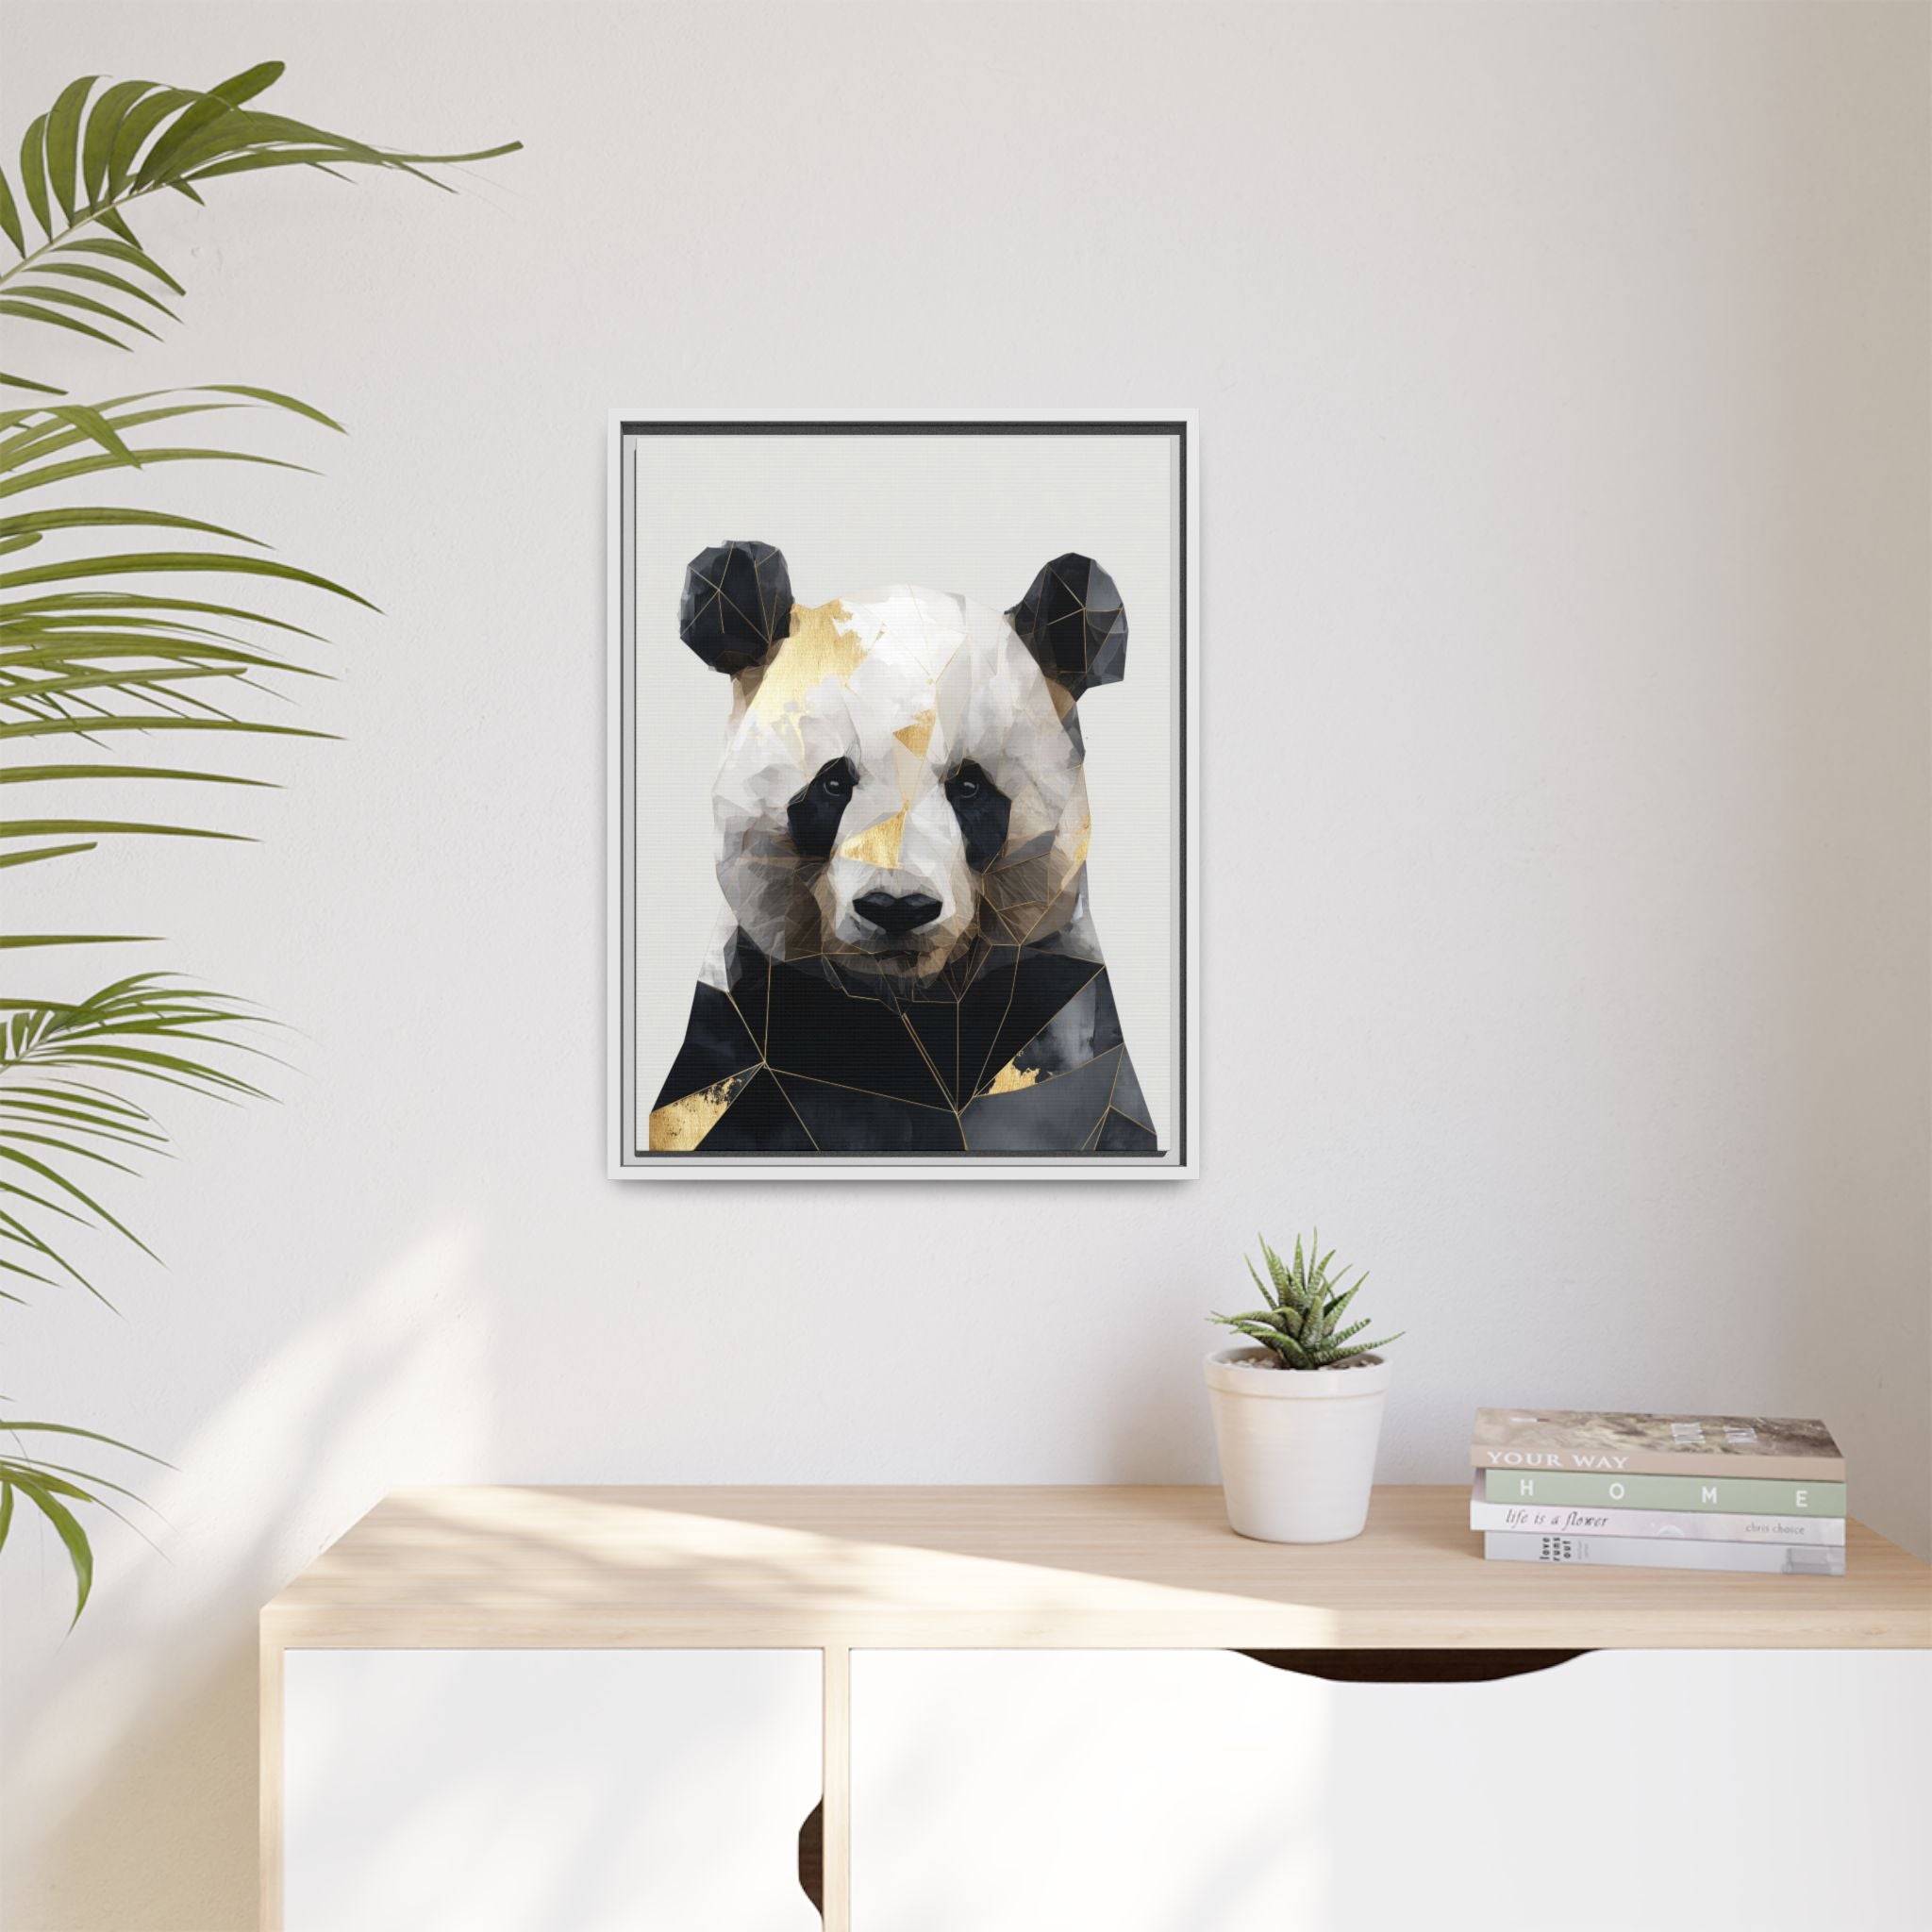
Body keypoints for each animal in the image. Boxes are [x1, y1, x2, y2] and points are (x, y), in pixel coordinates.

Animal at [650, 540, 1160, 1157]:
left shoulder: (1056, 1022)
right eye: (832, 784)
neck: (909, 1010)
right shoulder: (742, 1039)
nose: (897, 909)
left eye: (970, 787)